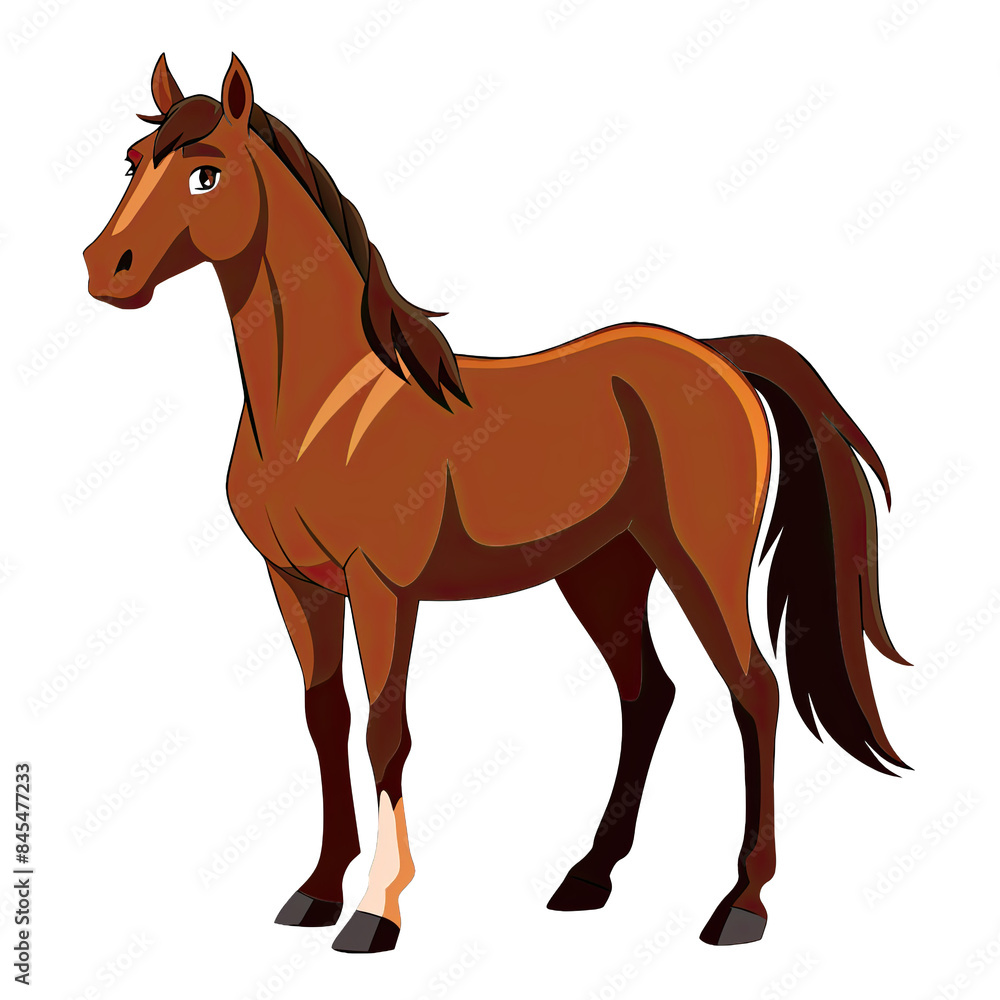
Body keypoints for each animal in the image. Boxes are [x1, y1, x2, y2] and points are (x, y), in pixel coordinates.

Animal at [83, 54, 909, 954]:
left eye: (206, 173)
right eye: (132, 162)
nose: (105, 267)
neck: (328, 408)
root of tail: (716, 357)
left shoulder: (382, 588)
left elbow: (385, 731)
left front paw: (375, 912)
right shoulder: (295, 585)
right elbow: (325, 720)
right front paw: (316, 891)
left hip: (699, 561)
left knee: (752, 691)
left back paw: (740, 905)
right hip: (604, 571)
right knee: (647, 693)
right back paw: (588, 879)